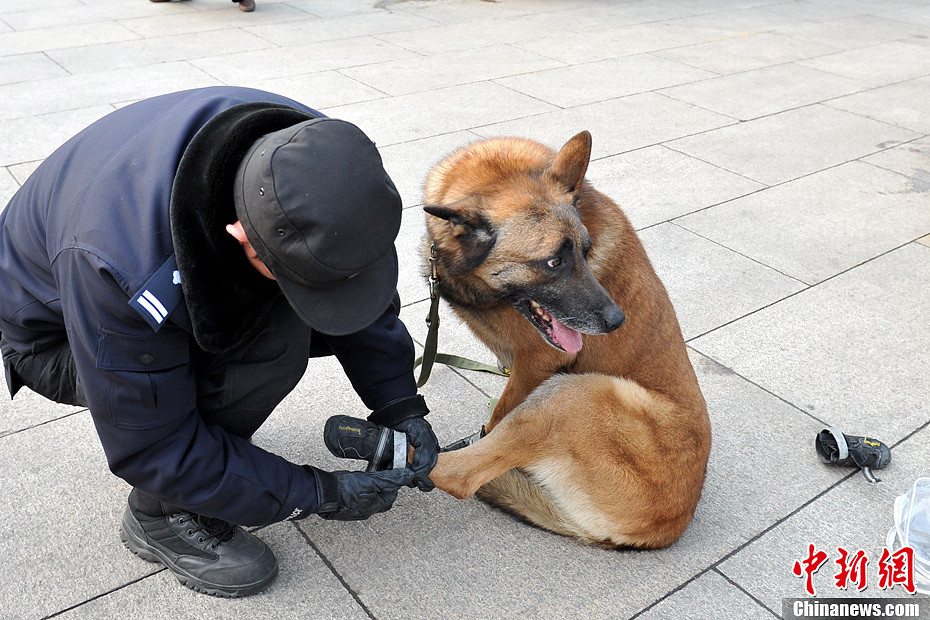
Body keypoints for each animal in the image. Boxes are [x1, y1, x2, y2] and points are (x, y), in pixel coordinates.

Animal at [422, 132, 712, 548]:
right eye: (553, 262)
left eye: (587, 252)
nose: (617, 320)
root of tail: (666, 527)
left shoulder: (535, 364)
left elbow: (498, 416)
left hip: (574, 392)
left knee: (457, 475)